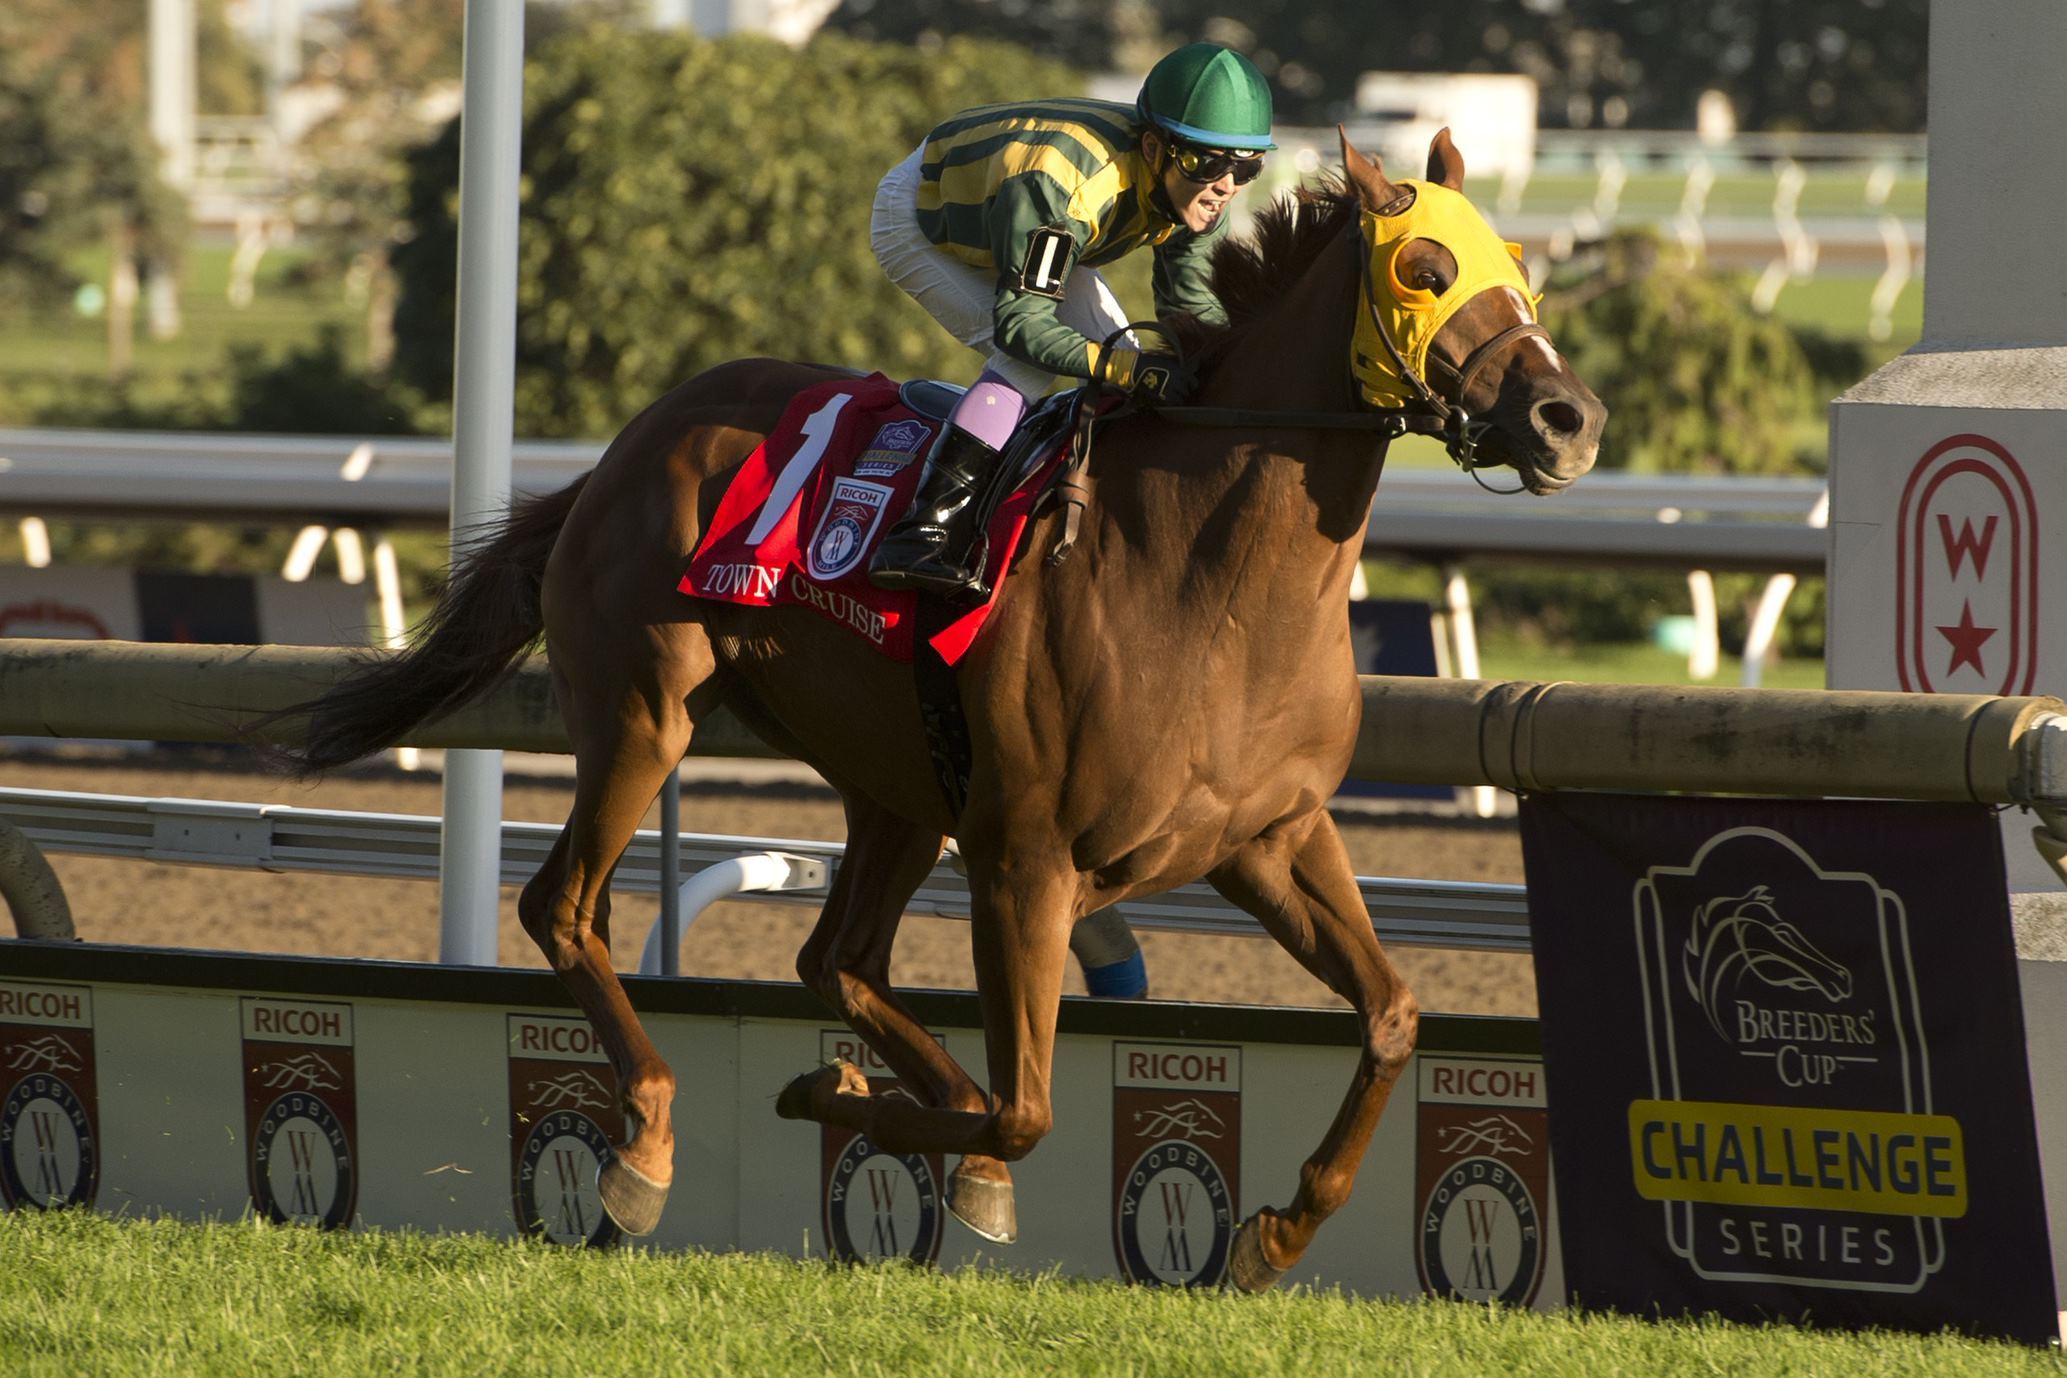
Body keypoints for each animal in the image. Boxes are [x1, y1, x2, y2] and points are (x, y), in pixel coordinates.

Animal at [279, 129, 1595, 1297]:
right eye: (1424, 270)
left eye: (1518, 264)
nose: (1567, 419)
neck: (1203, 579)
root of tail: (617, 454)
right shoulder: (1027, 860)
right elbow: (1026, 1110)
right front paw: (852, 1107)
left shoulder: (1272, 838)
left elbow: (1394, 1014)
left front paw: (1274, 1232)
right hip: (647, 712)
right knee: (568, 905)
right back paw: (647, 1144)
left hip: (896, 783)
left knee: (835, 957)